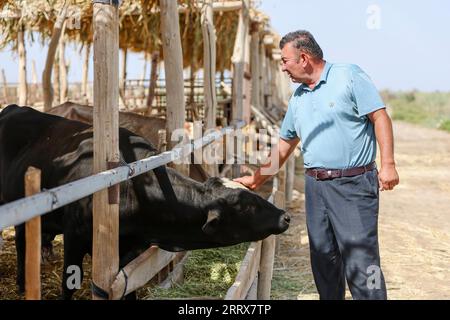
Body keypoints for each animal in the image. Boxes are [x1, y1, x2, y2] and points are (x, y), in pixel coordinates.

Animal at [0, 105, 288, 300]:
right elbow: (68, 285)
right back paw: (23, 283)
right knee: (22, 243)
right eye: (247, 206)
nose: (284, 216)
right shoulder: (74, 237)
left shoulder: (128, 256)